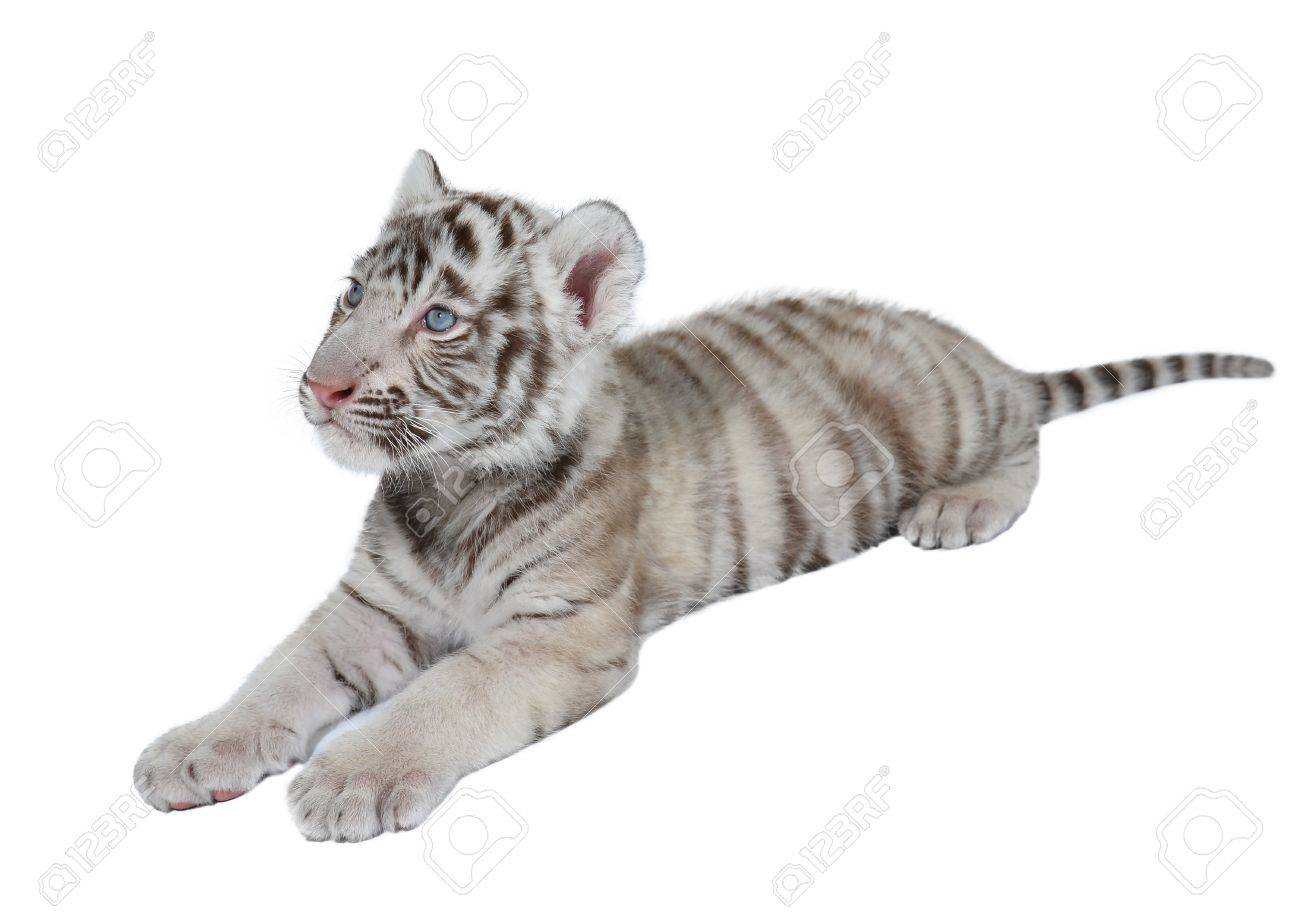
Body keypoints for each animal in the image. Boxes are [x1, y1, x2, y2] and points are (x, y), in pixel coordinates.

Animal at [133, 150, 1274, 842]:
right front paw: (197, 748)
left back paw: (962, 507)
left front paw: (350, 776)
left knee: (1028, 439)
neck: (449, 485)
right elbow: (276, 675)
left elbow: (446, 695)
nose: (320, 386)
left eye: (441, 321)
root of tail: (976, 347)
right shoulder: (367, 608)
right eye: (354, 294)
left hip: (957, 416)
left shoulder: (560, 631)